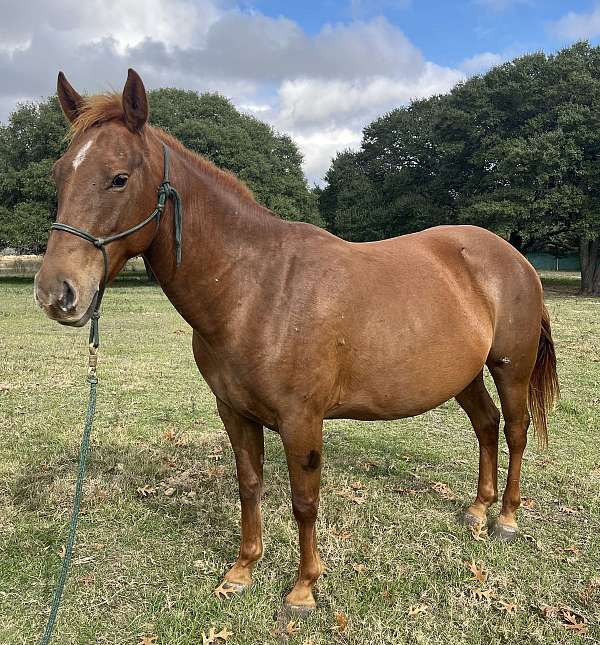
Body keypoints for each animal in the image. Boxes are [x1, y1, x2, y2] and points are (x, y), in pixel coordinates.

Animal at [35, 69, 559, 614]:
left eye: (119, 177)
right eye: (58, 175)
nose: (56, 293)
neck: (256, 289)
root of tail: (513, 257)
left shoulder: (301, 420)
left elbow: (304, 501)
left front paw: (304, 587)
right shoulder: (235, 412)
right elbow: (249, 485)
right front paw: (243, 570)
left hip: (510, 367)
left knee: (515, 429)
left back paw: (506, 518)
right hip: (462, 375)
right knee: (486, 425)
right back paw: (477, 509)